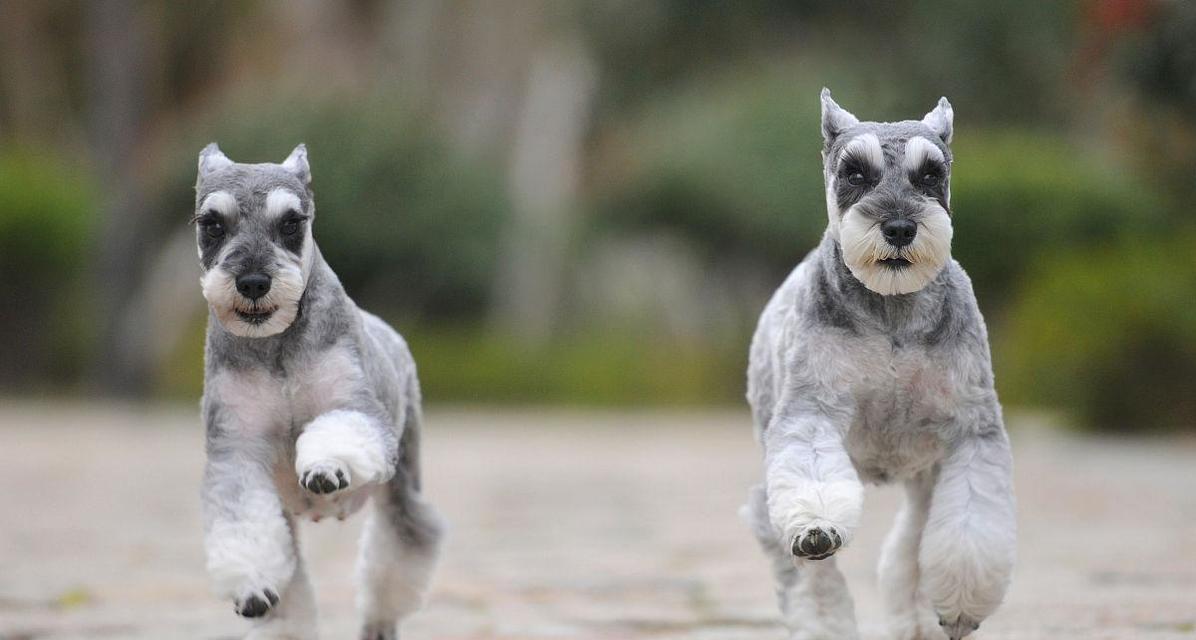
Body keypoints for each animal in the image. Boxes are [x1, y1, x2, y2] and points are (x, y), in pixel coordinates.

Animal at [194, 145, 444, 640]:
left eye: (292, 222)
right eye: (212, 224)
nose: (253, 283)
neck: (276, 345)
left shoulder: (356, 410)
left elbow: (338, 433)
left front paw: (327, 467)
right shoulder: (236, 450)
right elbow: (241, 521)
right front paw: (251, 586)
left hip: (403, 484)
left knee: (401, 545)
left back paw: (379, 621)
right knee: (291, 578)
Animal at [741, 91, 1014, 640]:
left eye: (931, 173)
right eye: (855, 173)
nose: (900, 227)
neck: (893, 313)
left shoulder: (972, 432)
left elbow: (970, 527)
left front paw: (961, 607)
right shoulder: (812, 411)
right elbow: (812, 482)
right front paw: (817, 528)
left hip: (928, 474)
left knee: (913, 541)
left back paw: (917, 620)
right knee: (798, 562)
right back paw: (822, 620)